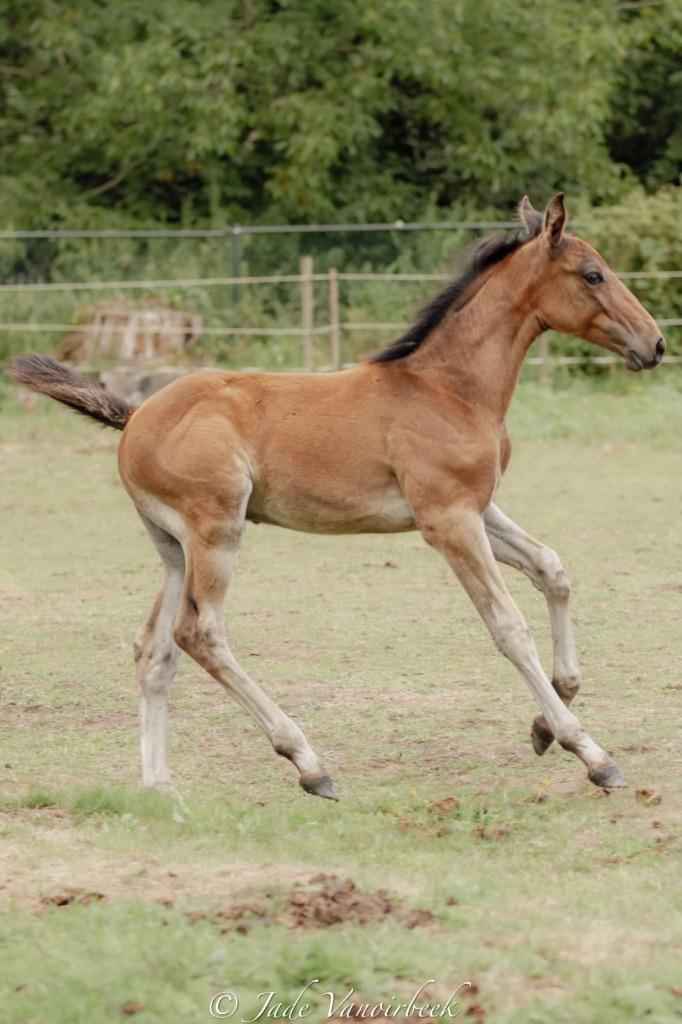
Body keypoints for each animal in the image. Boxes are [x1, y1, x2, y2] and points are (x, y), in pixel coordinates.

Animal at [11, 194, 665, 801]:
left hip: (174, 547)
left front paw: (546, 722)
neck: (449, 388)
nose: (655, 343)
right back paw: (307, 763)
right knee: (200, 633)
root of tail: (136, 416)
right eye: (592, 274)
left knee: (154, 650)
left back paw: (160, 790)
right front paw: (589, 751)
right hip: (216, 527)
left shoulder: (475, 508)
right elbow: (508, 626)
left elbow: (552, 569)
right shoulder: (448, 519)